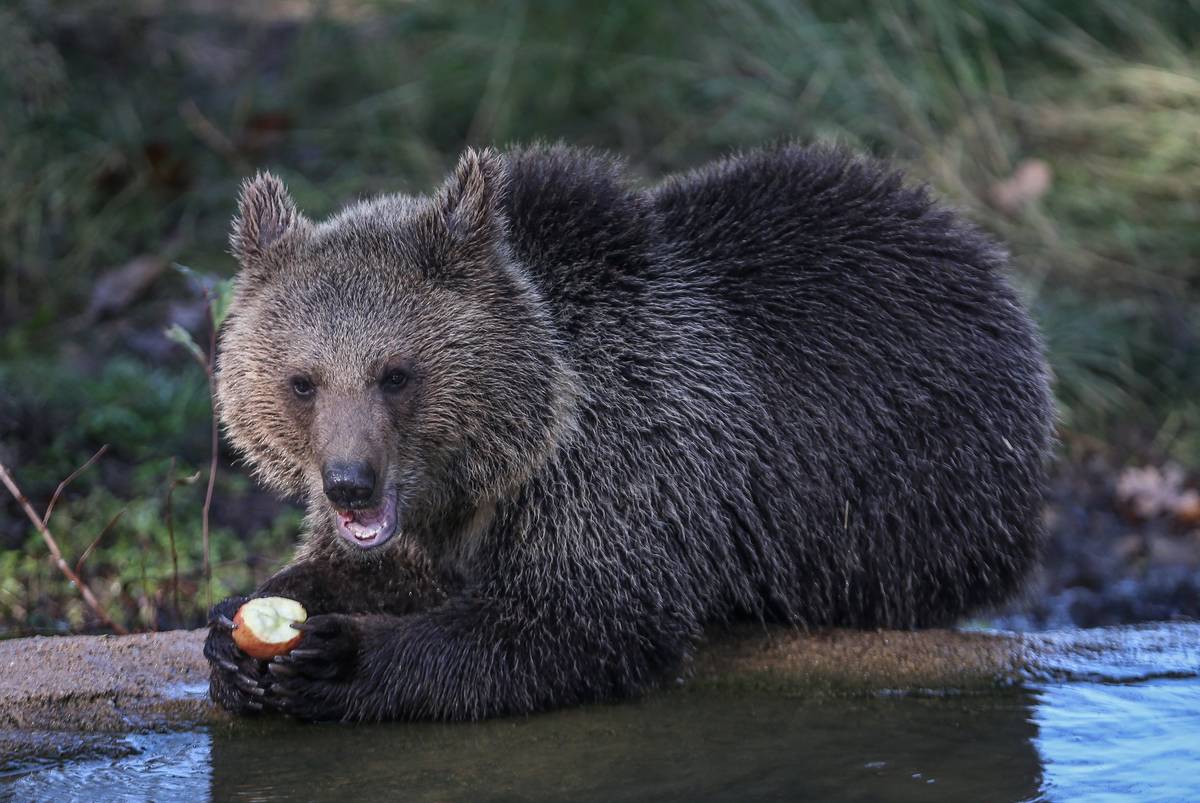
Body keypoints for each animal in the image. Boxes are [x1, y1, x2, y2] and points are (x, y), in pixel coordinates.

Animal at [204, 144, 1054, 722]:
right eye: (302, 380)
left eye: (396, 373)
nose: (351, 481)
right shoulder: (436, 515)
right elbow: (363, 568)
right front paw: (234, 636)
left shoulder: (622, 461)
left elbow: (572, 623)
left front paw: (338, 658)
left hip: (916, 492)